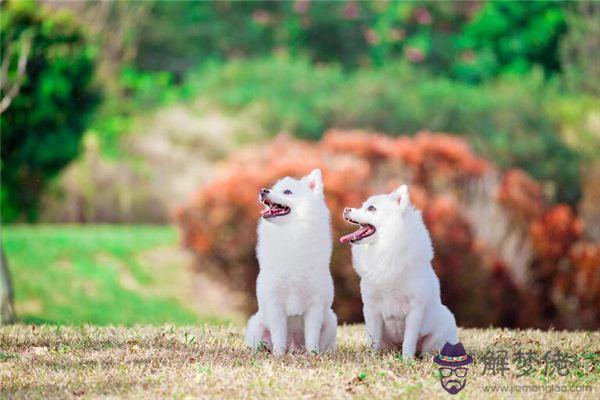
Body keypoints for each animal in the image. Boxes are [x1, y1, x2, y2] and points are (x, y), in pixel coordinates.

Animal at [245, 167, 338, 354]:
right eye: (273, 188)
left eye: (287, 192)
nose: (263, 190)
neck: (291, 233)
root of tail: (294, 345)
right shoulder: (275, 305)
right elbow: (279, 335)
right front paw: (279, 354)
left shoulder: (315, 305)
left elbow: (312, 336)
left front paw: (312, 354)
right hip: (256, 327)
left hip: (331, 321)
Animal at [340, 185, 458, 360]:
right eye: (362, 206)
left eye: (371, 208)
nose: (346, 209)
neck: (385, 247)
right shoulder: (371, 308)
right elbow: (372, 338)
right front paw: (370, 356)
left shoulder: (415, 309)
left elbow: (409, 339)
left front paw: (407, 359)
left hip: (437, 335)